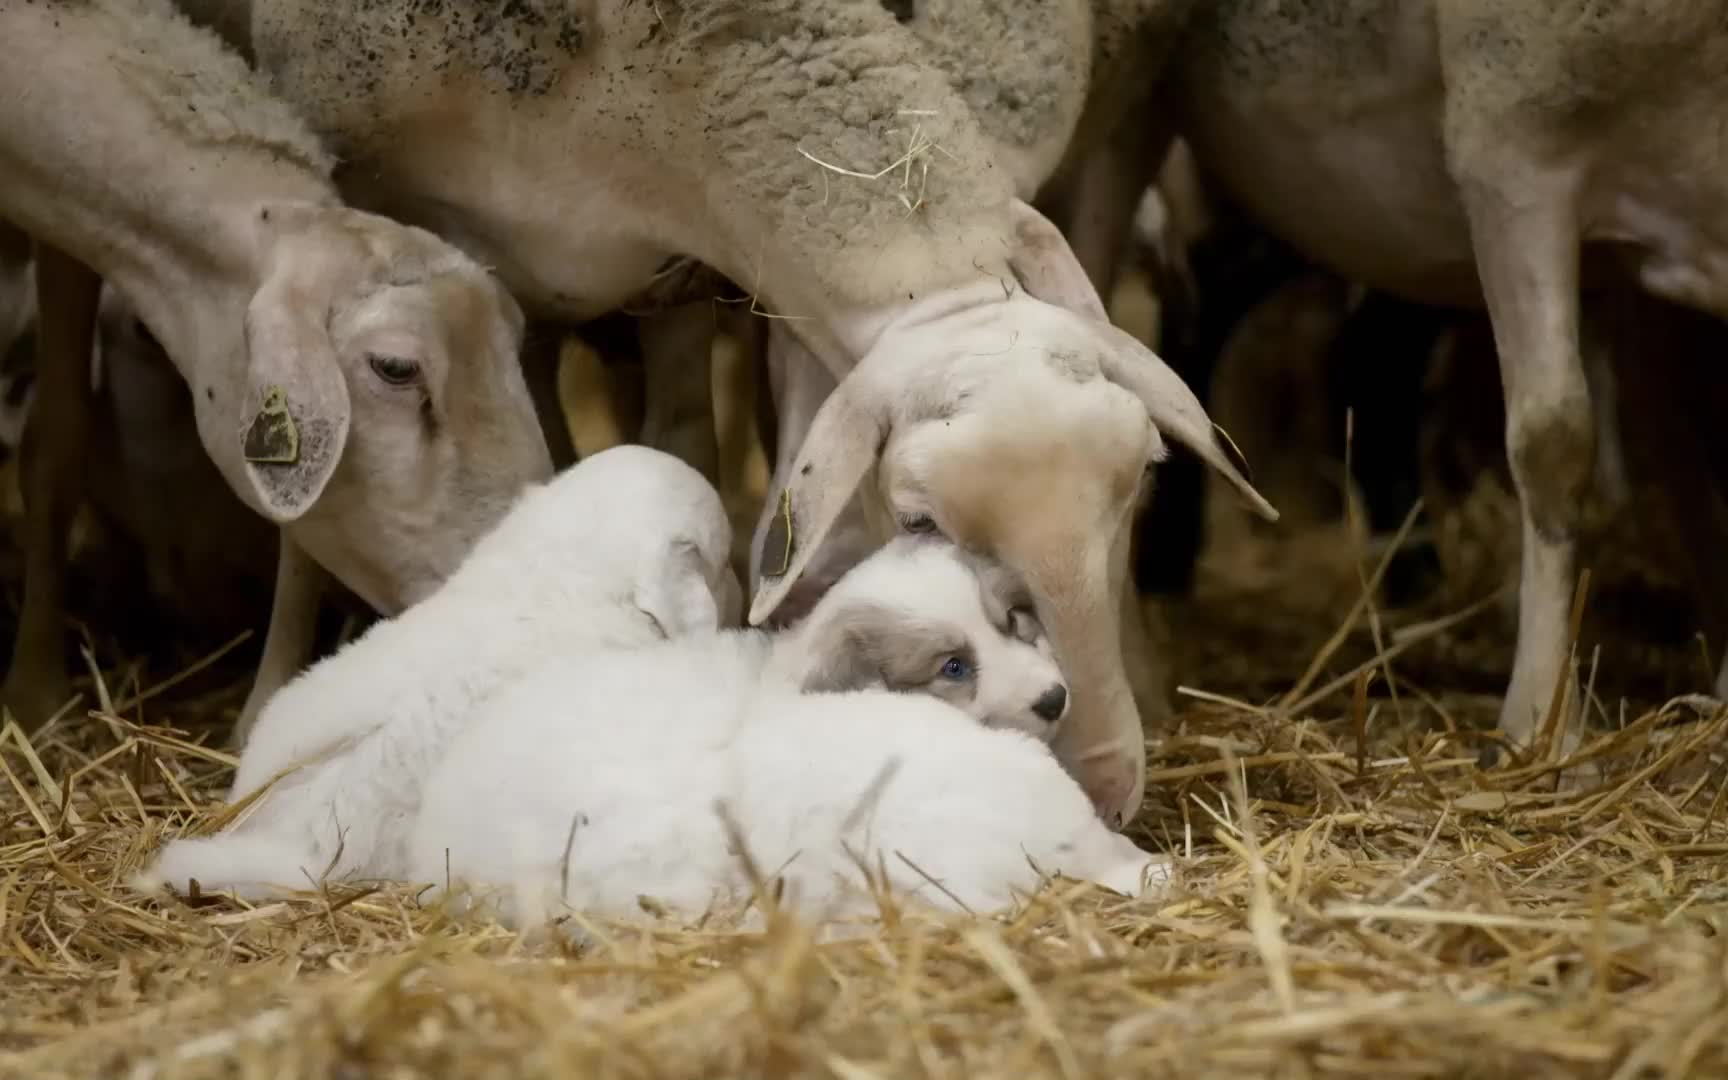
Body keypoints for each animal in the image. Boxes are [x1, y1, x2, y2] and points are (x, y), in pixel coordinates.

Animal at [189, 2, 1278, 825]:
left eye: (1141, 479)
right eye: (918, 519)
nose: (1099, 782)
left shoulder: (683, 271)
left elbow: (687, 439)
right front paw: (268, 701)